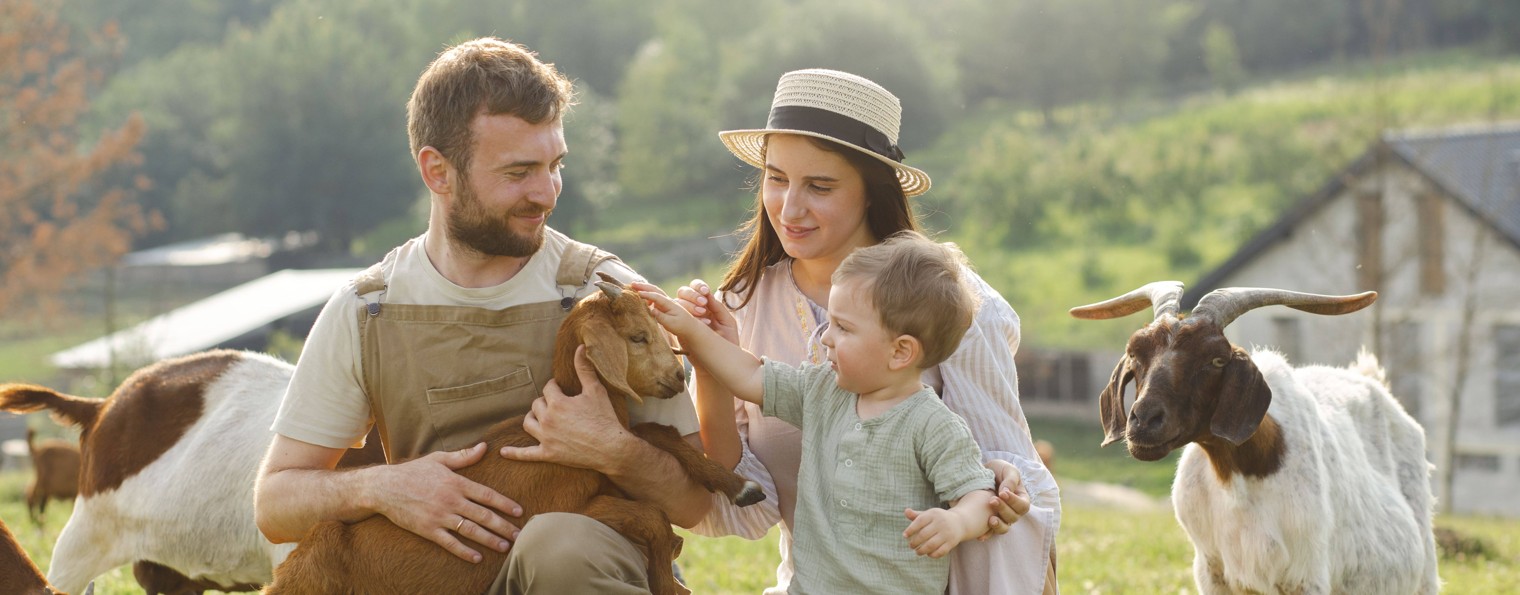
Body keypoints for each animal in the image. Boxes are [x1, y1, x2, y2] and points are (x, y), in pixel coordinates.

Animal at [1070, 283, 1434, 595]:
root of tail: (1371, 379)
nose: (1144, 420)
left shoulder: (1306, 575)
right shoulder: (1213, 574)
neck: (1240, 478)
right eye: (1135, 353)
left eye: (1216, 359)